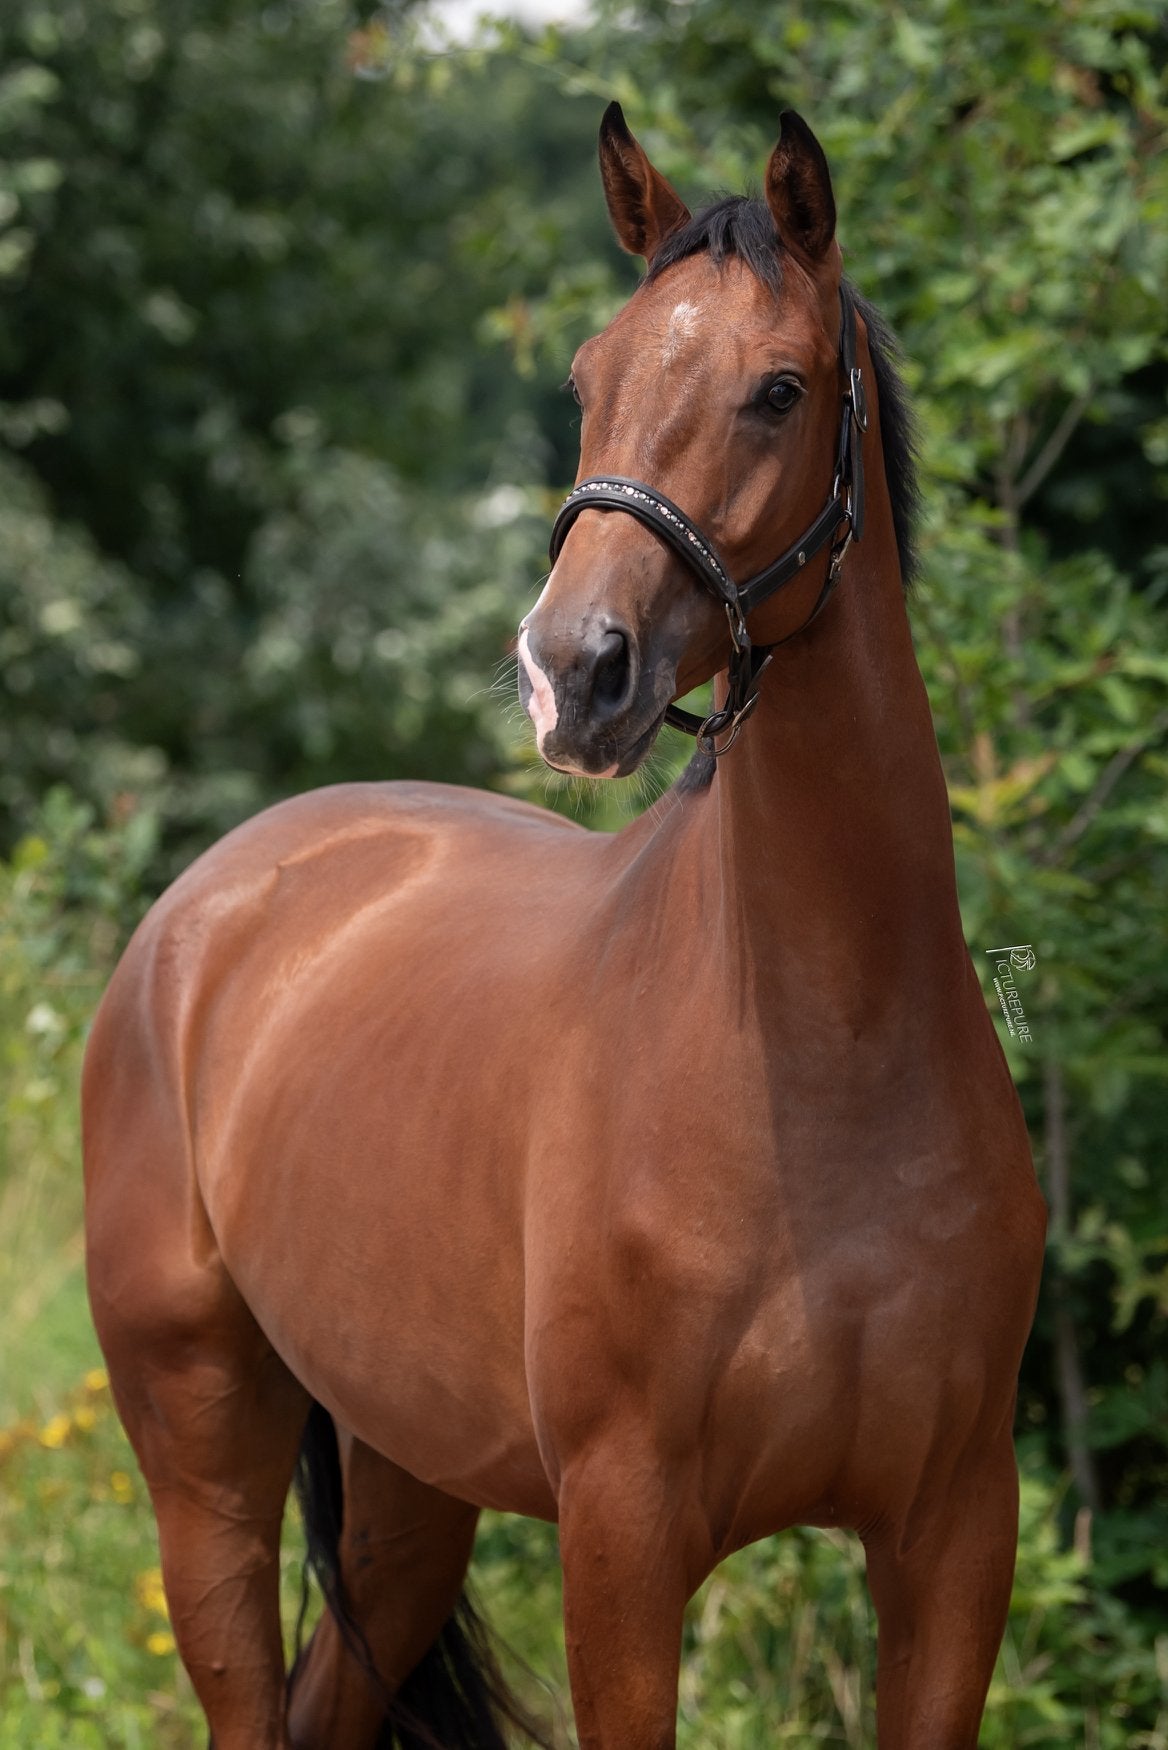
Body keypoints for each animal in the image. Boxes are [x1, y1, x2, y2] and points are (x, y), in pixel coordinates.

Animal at [82, 104, 1046, 1749]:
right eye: (589, 378)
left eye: (778, 389)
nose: (570, 672)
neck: (824, 1055)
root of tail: (198, 918)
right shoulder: (623, 1534)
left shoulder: (954, 1538)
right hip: (202, 1457)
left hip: (409, 1489)